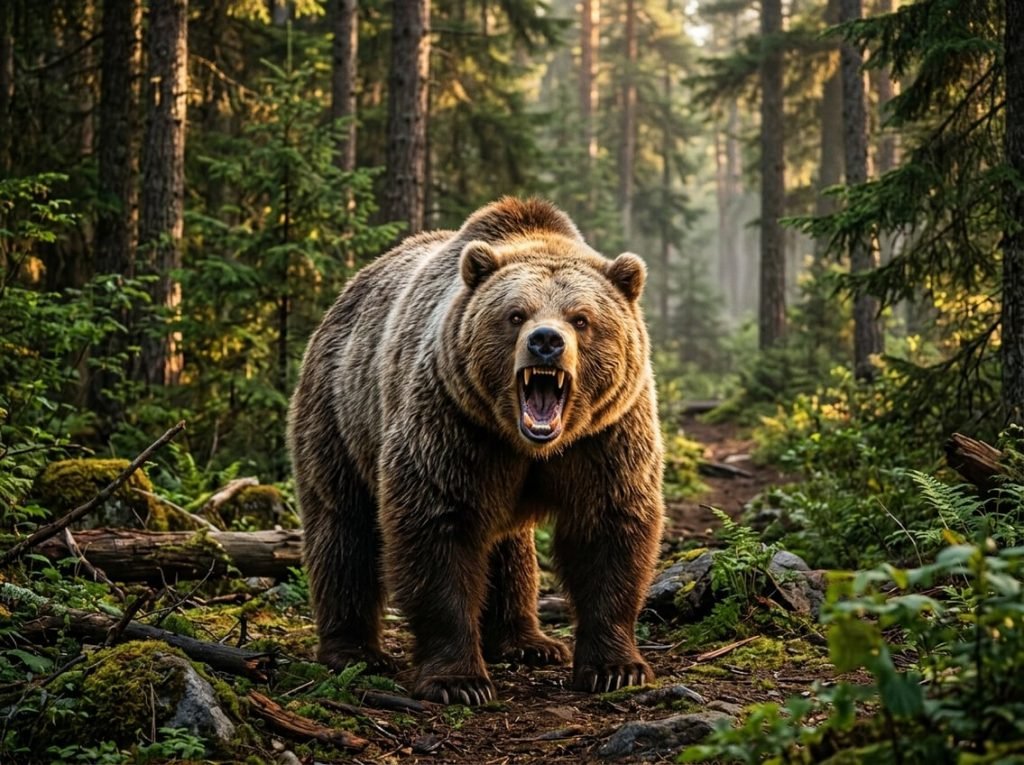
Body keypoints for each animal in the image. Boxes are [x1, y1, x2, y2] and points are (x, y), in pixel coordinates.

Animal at [288, 198, 664, 705]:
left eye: (581, 318)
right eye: (516, 314)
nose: (546, 341)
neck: (528, 444)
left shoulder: (605, 437)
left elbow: (609, 529)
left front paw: (615, 668)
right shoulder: (454, 425)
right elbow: (438, 531)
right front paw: (459, 680)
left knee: (508, 547)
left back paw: (527, 642)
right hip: (340, 410)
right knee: (344, 528)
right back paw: (353, 650)